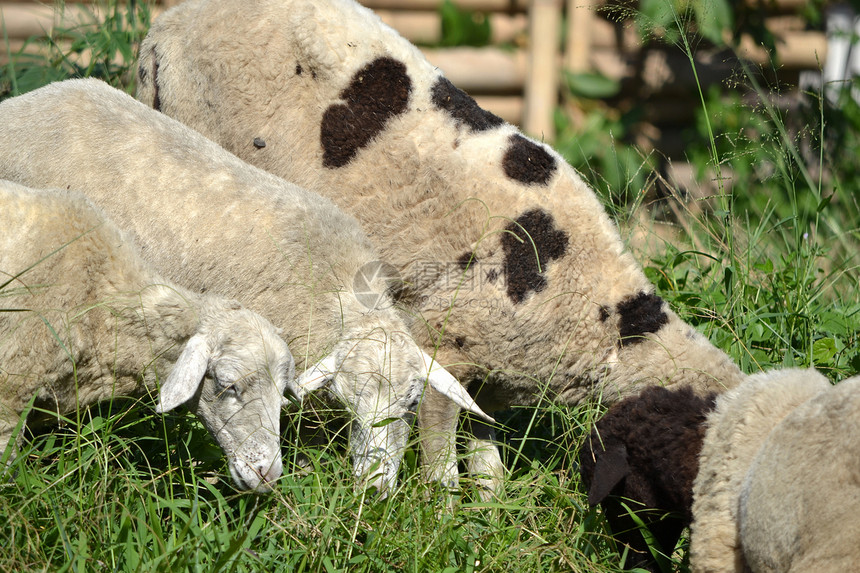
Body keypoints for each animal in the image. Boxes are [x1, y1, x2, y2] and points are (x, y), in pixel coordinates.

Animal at [136, 0, 744, 492]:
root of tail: (164, 27)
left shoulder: (500, 370)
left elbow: (485, 447)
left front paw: (488, 510)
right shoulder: (441, 337)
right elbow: (439, 451)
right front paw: (442, 511)